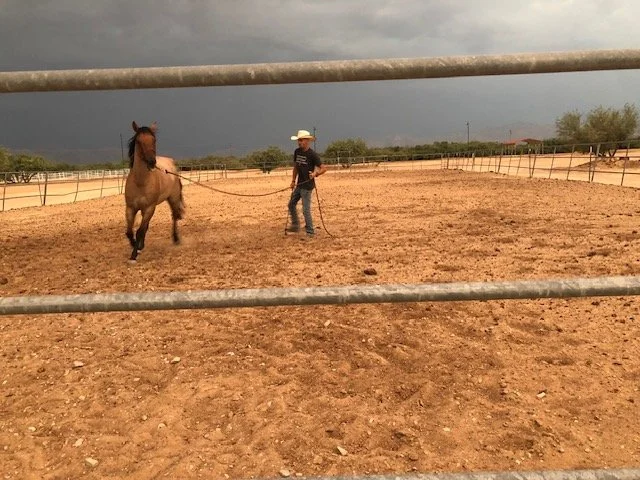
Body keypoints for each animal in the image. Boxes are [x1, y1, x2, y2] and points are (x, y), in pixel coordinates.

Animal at [124, 121, 184, 262]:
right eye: (138, 141)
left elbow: (140, 231)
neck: (140, 182)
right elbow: (130, 231)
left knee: (174, 217)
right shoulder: (131, 208)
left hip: (172, 199)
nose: (152, 162)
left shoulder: (149, 208)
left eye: (154, 140)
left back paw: (176, 239)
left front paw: (134, 254)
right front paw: (136, 246)